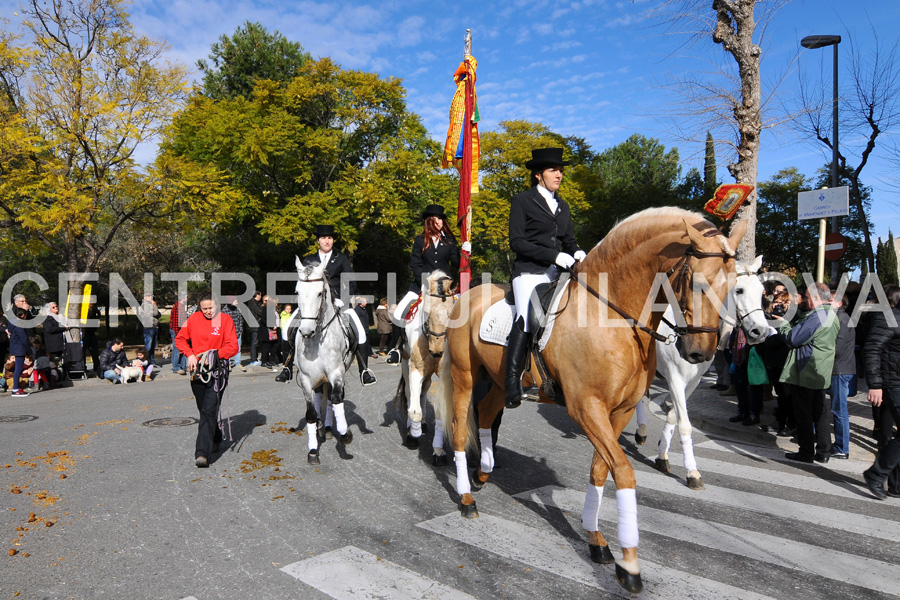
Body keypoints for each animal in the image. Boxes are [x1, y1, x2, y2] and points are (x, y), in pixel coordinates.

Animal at [292, 258, 356, 464]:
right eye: (297, 292)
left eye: (320, 293)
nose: (306, 331)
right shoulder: (305, 378)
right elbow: (311, 413)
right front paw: (313, 451)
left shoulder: (336, 372)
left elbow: (336, 399)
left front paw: (345, 434)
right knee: (321, 397)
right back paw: (321, 427)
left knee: (331, 400)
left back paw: (328, 428)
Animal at [398, 270, 458, 466]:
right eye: (426, 312)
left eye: (451, 313)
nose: (437, 351)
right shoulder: (416, 370)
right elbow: (414, 410)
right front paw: (413, 436)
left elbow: (441, 413)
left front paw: (438, 451)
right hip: (405, 365)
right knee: (410, 395)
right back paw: (413, 428)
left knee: (423, 393)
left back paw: (423, 423)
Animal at [434, 209, 744, 592]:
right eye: (698, 283)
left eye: (733, 288)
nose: (700, 354)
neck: (611, 316)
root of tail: (468, 294)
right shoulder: (586, 409)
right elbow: (623, 472)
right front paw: (630, 564)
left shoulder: (619, 412)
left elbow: (600, 470)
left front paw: (596, 541)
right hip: (464, 375)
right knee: (461, 428)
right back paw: (466, 498)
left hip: (499, 382)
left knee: (488, 412)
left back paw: (485, 471)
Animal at [632, 253, 768, 488]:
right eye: (739, 290)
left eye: (761, 291)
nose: (761, 331)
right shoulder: (675, 379)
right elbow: (685, 424)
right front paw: (692, 471)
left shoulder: (692, 382)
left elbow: (673, 417)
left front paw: (662, 456)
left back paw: (641, 431)